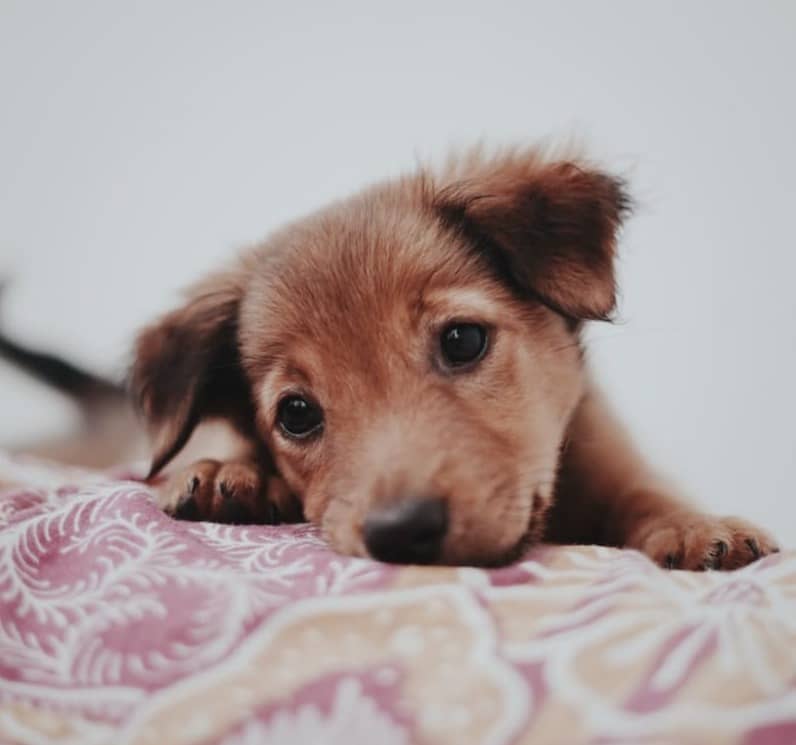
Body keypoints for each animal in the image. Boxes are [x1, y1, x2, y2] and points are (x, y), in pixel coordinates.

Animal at [132, 150, 776, 568]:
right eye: (296, 412)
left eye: (462, 341)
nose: (401, 535)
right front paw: (234, 471)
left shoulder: (612, 456)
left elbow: (646, 493)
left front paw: (698, 527)